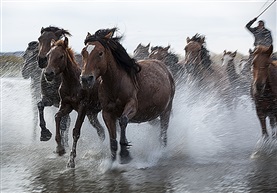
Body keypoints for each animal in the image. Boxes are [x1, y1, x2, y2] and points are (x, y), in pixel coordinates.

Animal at [76, 27, 174, 167]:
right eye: (84, 52)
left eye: (100, 53)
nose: (85, 79)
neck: (115, 83)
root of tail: (166, 69)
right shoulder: (107, 113)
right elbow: (112, 140)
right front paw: (112, 162)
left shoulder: (132, 106)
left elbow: (123, 121)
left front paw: (124, 155)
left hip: (166, 111)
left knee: (163, 132)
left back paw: (161, 152)